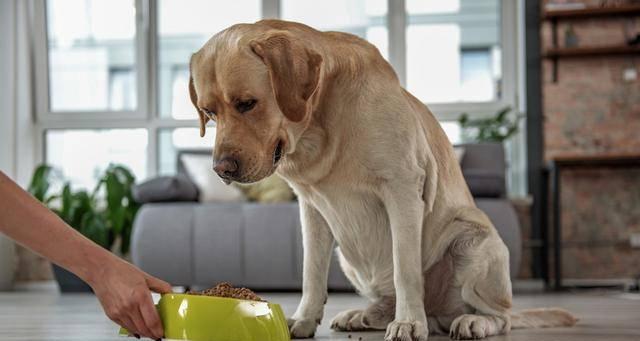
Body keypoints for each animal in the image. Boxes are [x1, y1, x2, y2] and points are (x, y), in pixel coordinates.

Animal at [189, 19, 576, 338]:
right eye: (209, 112)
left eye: (247, 103)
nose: (221, 169)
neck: (320, 128)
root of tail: (439, 313)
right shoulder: (311, 209)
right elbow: (311, 272)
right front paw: (303, 319)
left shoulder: (402, 192)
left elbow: (406, 269)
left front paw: (408, 323)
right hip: (348, 256)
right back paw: (366, 315)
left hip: (473, 243)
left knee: (501, 316)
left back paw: (468, 321)